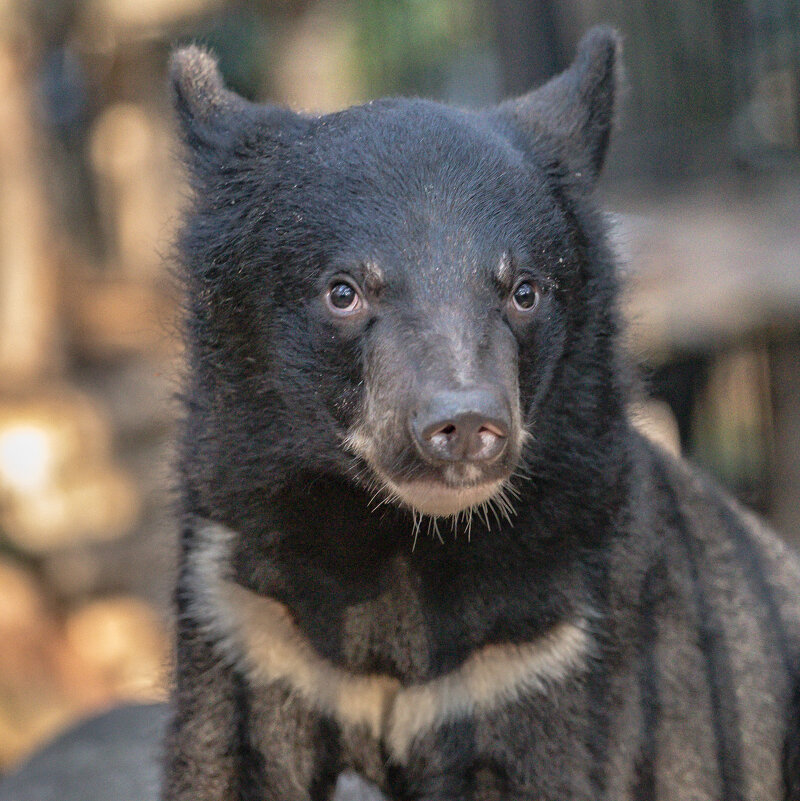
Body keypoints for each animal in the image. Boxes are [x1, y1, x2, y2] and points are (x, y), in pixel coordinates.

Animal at [162, 26, 800, 800]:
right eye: (344, 292)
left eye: (524, 290)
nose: (465, 425)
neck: (399, 541)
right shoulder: (246, 619)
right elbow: (224, 757)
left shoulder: (547, 653)